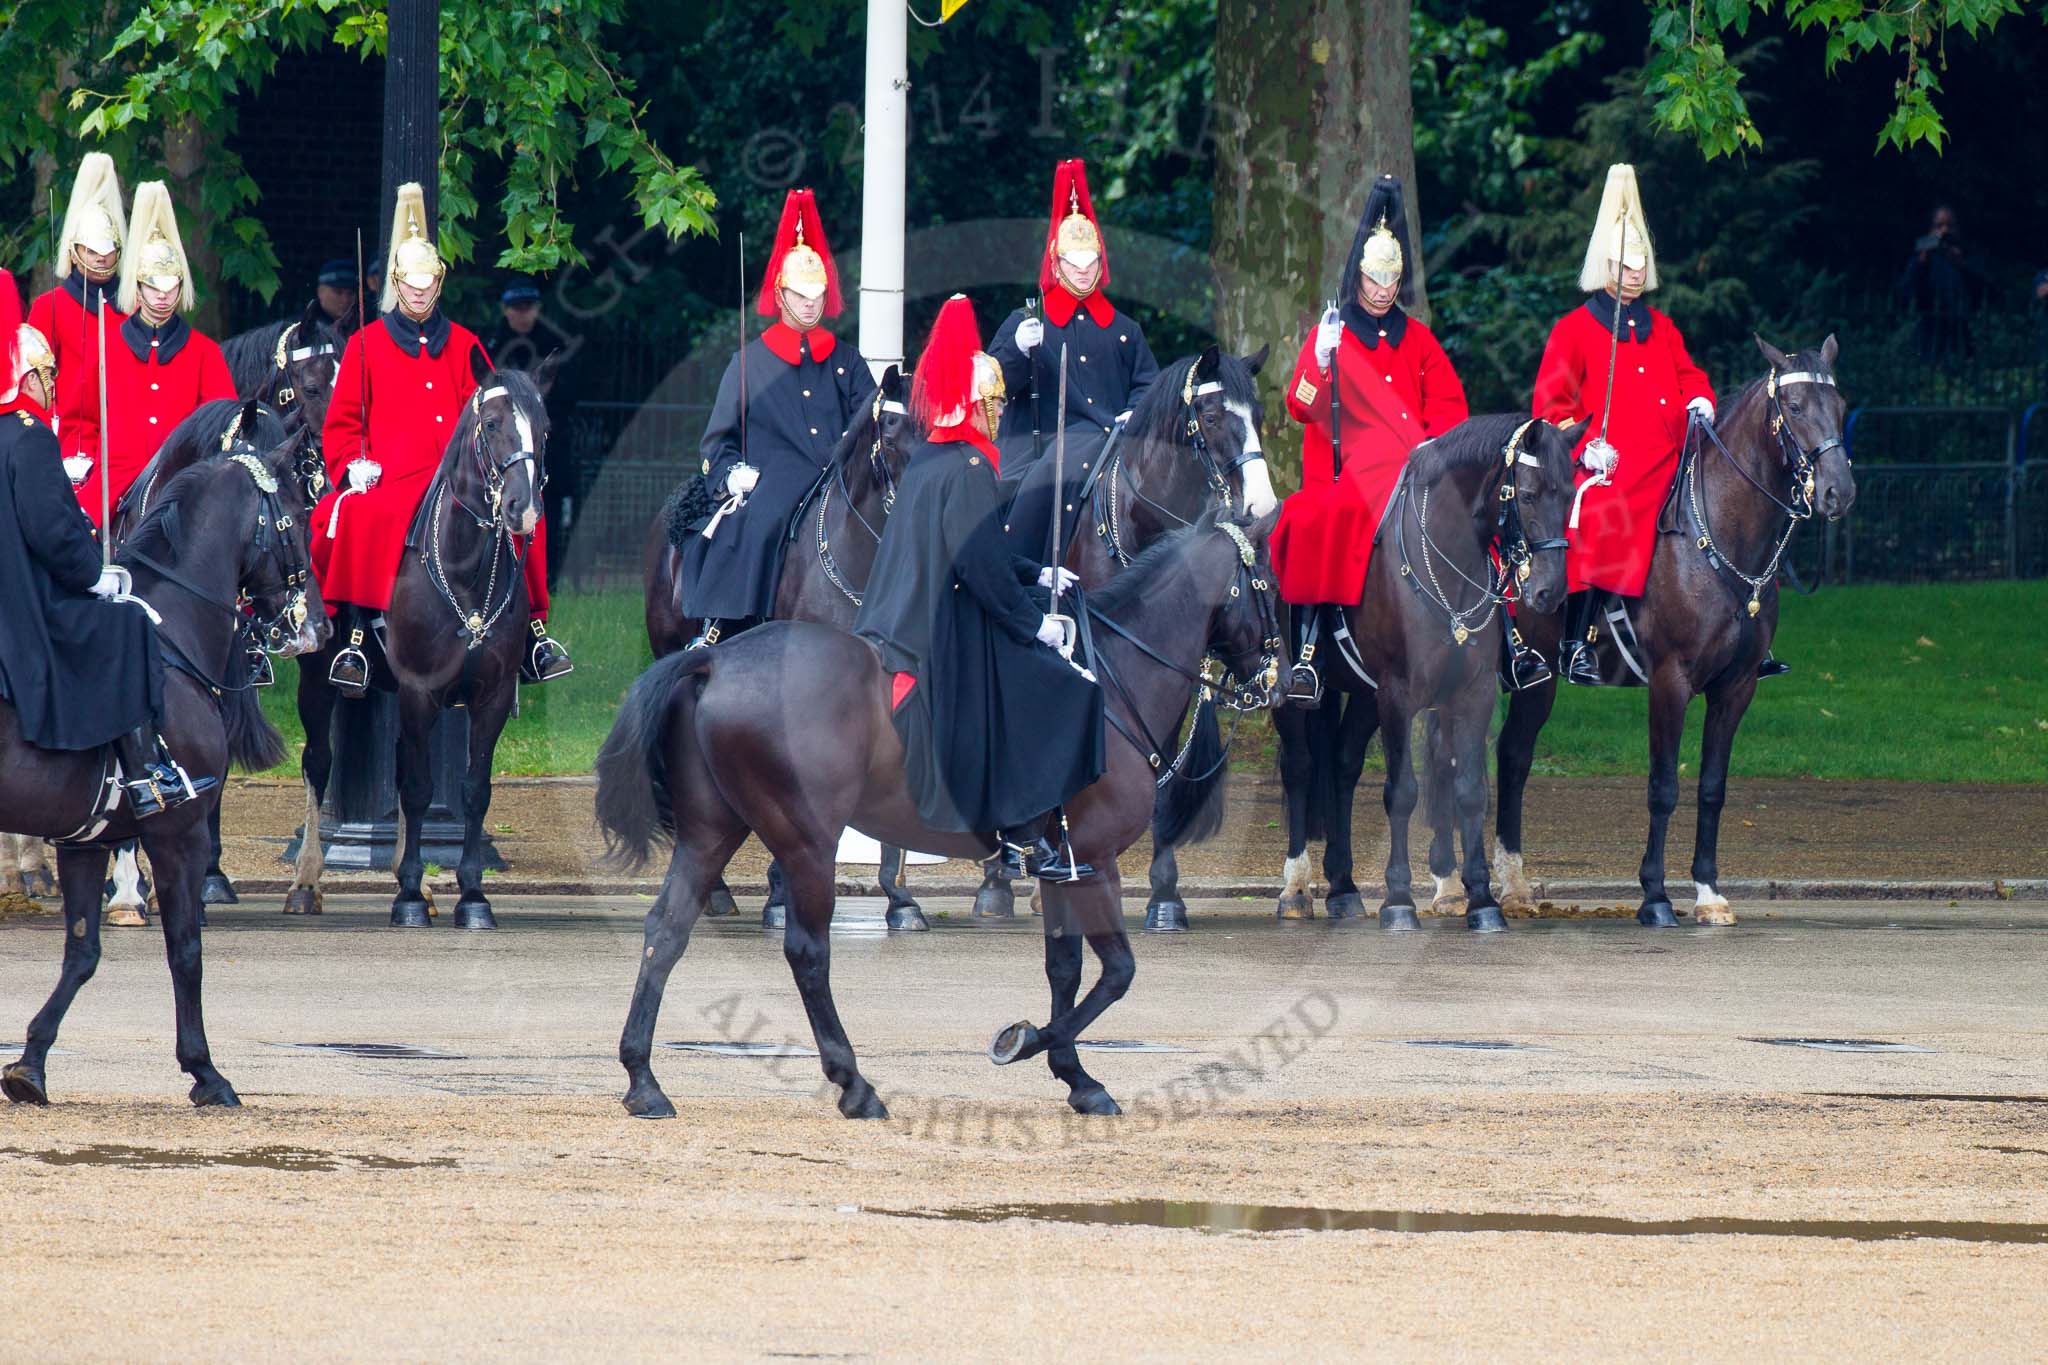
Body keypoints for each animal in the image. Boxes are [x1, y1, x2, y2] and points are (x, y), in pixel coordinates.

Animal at [3, 440, 327, 1108]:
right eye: (298, 520)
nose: (319, 628)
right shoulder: (181, 834)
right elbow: (186, 947)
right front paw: (205, 1071)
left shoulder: (85, 841)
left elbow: (82, 950)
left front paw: (31, 1063)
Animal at [284, 355, 560, 928]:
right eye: (492, 424)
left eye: (544, 429)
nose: (523, 509)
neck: (466, 570)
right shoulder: (418, 691)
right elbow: (416, 789)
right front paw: (409, 894)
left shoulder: (490, 697)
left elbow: (473, 790)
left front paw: (471, 894)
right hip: (318, 681)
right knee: (318, 762)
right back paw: (306, 880)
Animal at [594, 507, 1284, 1121]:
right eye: (1271, 588)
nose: (1287, 681)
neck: (1111, 686)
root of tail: (715, 658)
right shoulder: (1095, 861)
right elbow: (1117, 972)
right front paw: (1029, 1044)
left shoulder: (1063, 868)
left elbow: (1065, 969)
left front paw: (1073, 1075)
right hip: (806, 843)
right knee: (808, 953)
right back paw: (855, 1086)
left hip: (712, 833)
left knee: (665, 932)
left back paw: (644, 1081)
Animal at [1265, 415, 1577, 929]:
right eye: (1529, 494)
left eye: (1570, 494)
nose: (1550, 592)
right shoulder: (1398, 694)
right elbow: (1402, 792)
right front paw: (1398, 900)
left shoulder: (1472, 694)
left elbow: (1469, 790)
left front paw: (1483, 901)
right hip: (1296, 694)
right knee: (1300, 767)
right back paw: (1294, 889)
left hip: (1364, 695)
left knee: (1344, 765)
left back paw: (1343, 888)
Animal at [1483, 336, 1855, 927]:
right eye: (1795, 408)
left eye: (1841, 407)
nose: (1840, 492)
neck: (1720, 537)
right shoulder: (1669, 681)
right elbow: (1663, 787)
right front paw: (1655, 896)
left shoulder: (1736, 688)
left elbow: (1712, 788)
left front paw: (1707, 891)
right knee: (1500, 756)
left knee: (1512, 755)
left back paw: (1510, 885)